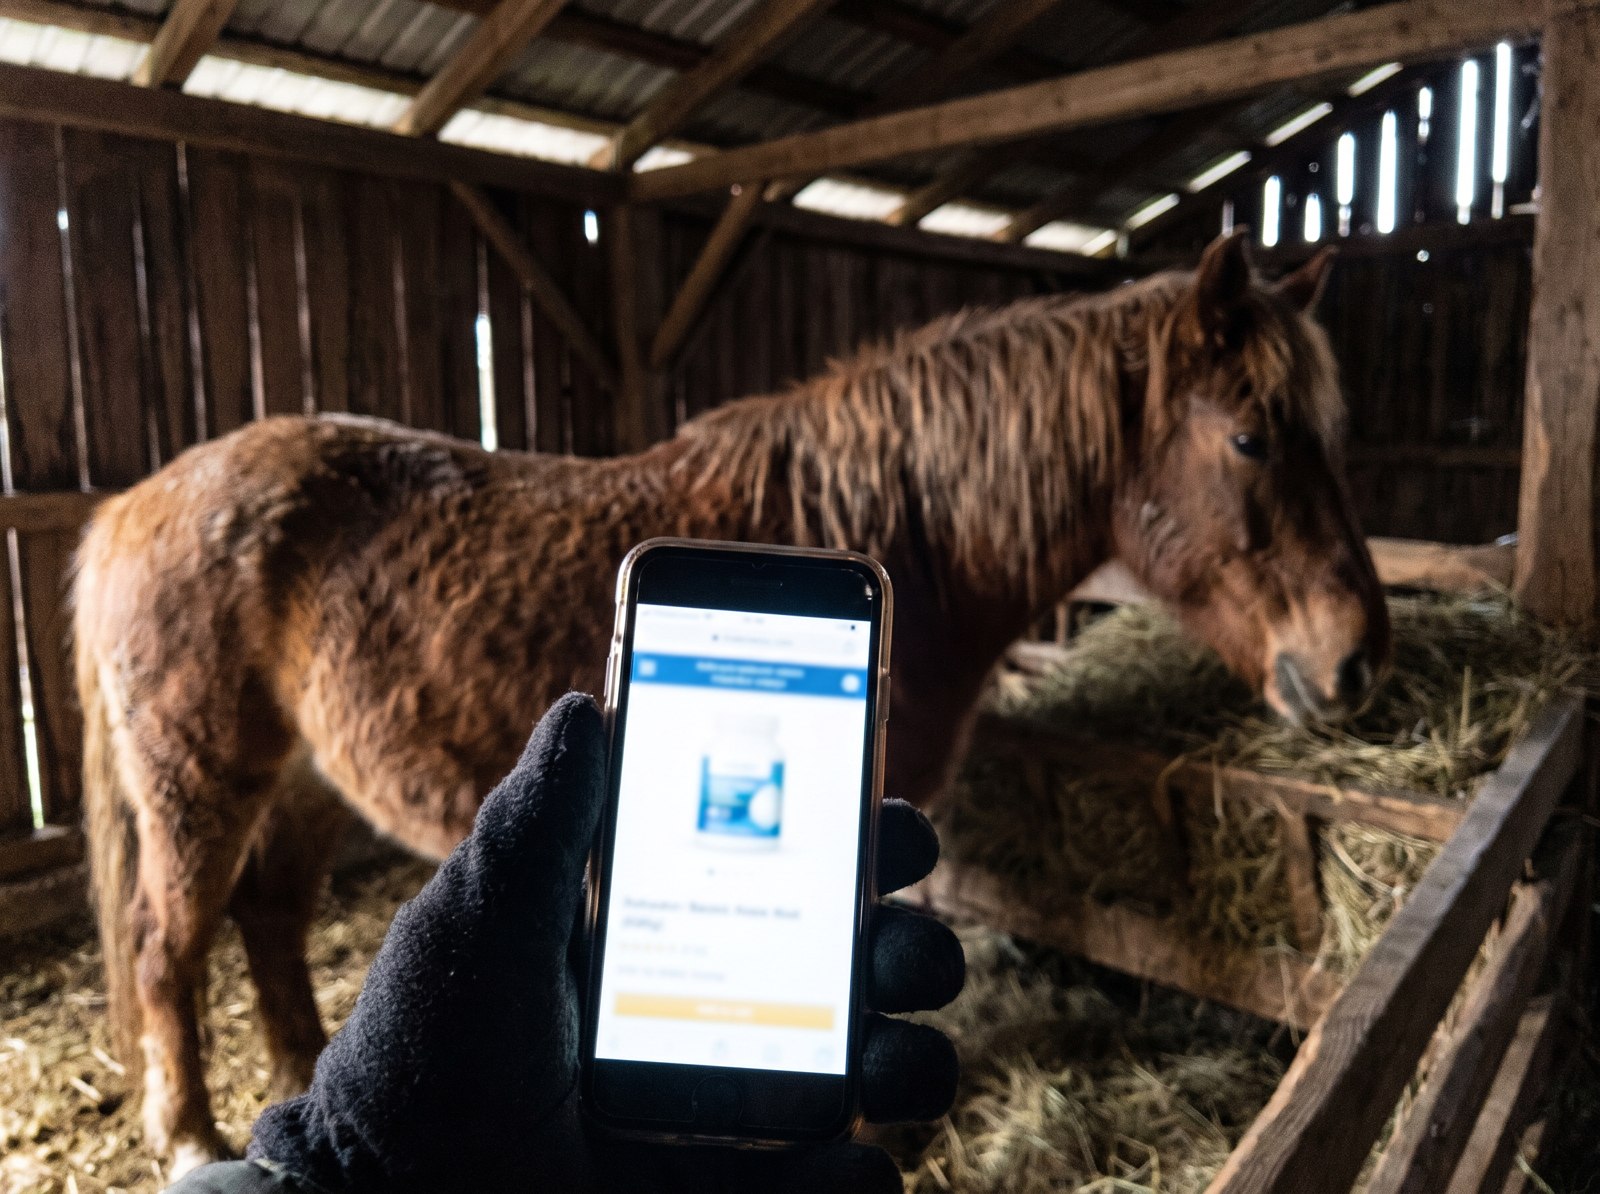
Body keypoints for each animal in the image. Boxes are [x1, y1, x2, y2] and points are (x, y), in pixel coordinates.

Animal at [74, 231, 1388, 1173]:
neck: (907, 530)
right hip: (199, 782)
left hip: (300, 783)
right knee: (166, 944)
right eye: (1254, 439)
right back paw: (186, 1136)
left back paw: (301, 1083)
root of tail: (134, 503)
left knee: (270, 921)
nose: (1357, 660)